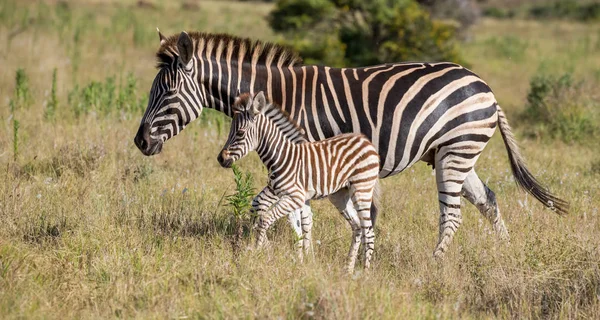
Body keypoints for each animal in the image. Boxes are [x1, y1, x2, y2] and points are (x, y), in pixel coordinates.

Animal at [217, 91, 380, 272]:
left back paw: (364, 272)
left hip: (362, 189)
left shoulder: (294, 197)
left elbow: (266, 220)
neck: (281, 156)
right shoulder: (288, 196)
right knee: (357, 227)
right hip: (339, 195)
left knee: (369, 232)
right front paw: (300, 261)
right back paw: (348, 269)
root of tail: (365, 140)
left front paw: (256, 254)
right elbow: (296, 229)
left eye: (240, 133)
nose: (220, 159)